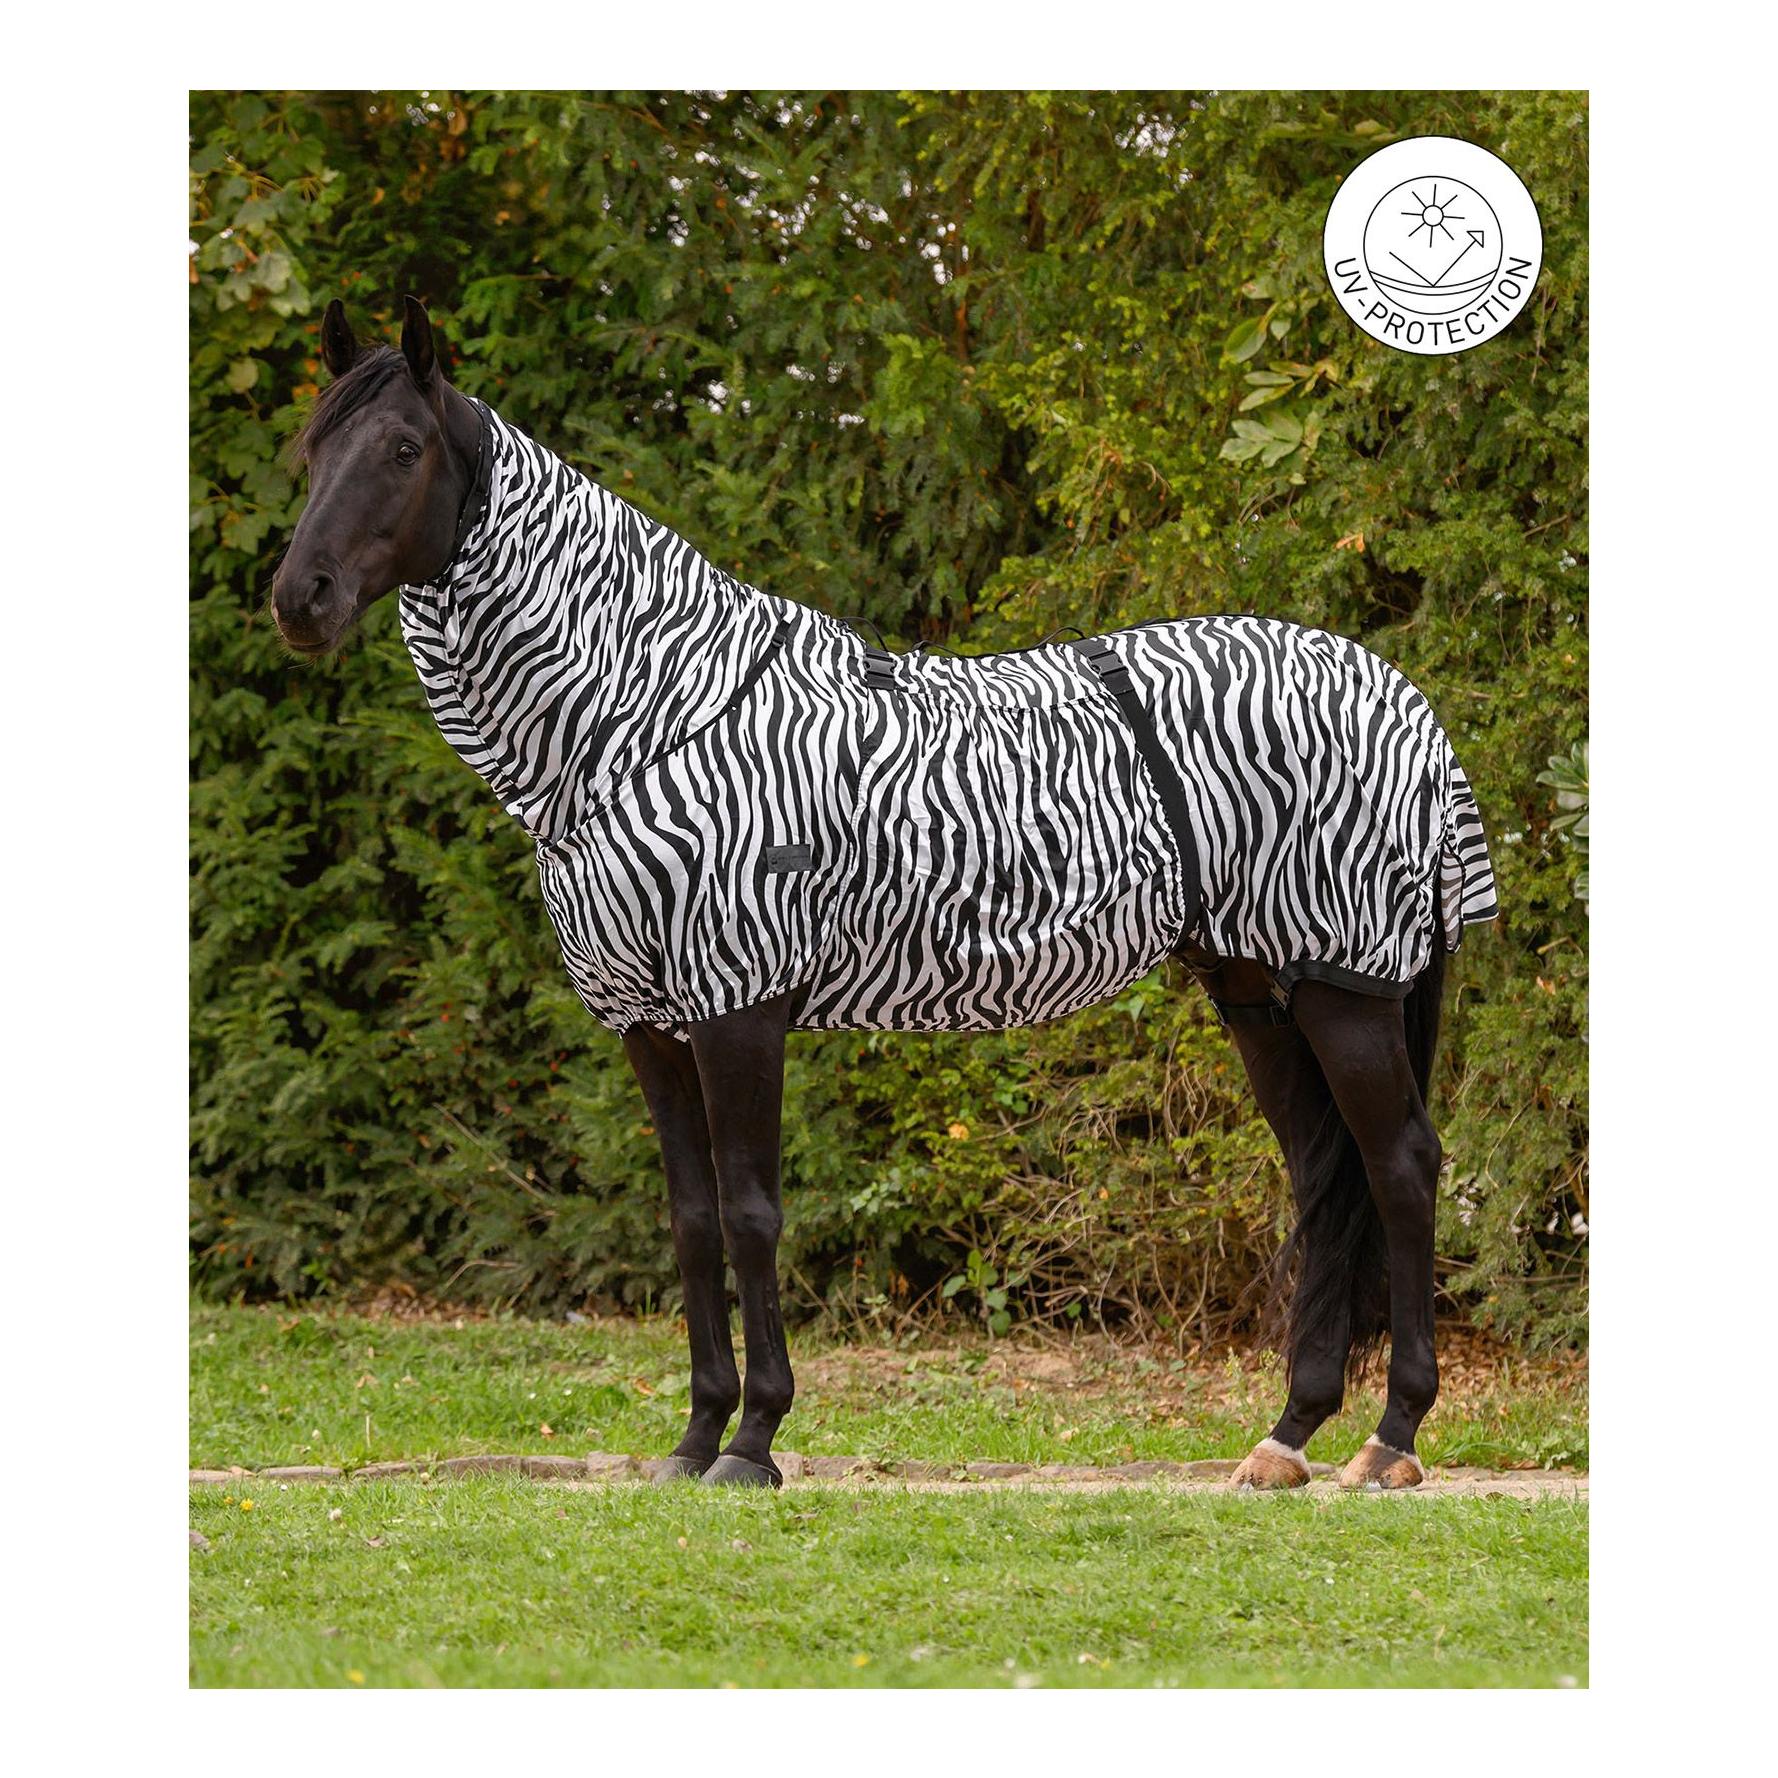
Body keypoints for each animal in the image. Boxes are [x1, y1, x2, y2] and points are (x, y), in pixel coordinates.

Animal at [269, 298, 1498, 1492]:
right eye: (313, 448)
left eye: (402, 448)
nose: (298, 600)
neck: (647, 714)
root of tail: (1402, 700)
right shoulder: (647, 1025)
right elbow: (691, 1221)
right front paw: (693, 1438)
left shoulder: (739, 1004)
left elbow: (753, 1214)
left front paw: (753, 1441)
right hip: (1257, 991)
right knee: (1323, 1178)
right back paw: (1287, 1437)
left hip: (1344, 986)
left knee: (1398, 1167)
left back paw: (1390, 1438)